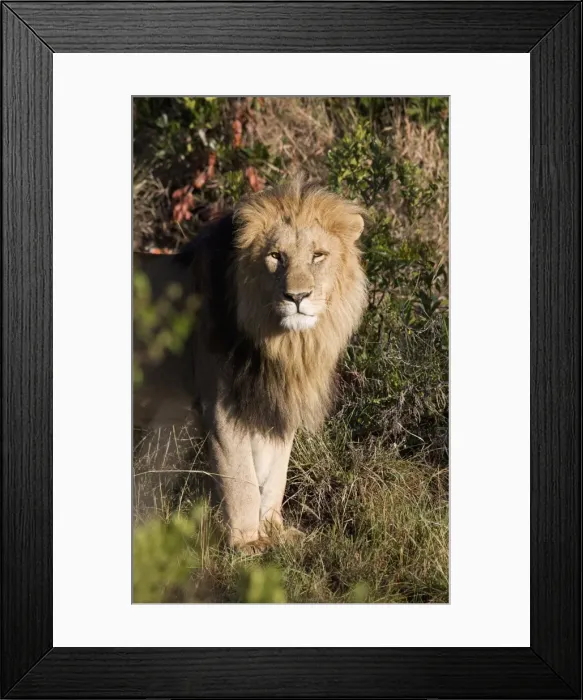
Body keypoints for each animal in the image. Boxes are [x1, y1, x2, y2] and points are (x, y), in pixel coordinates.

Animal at [134, 178, 367, 552]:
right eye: (276, 257)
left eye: (318, 256)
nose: (297, 297)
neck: (284, 346)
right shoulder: (222, 406)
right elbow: (241, 479)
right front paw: (247, 543)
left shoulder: (272, 401)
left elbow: (274, 474)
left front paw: (274, 529)